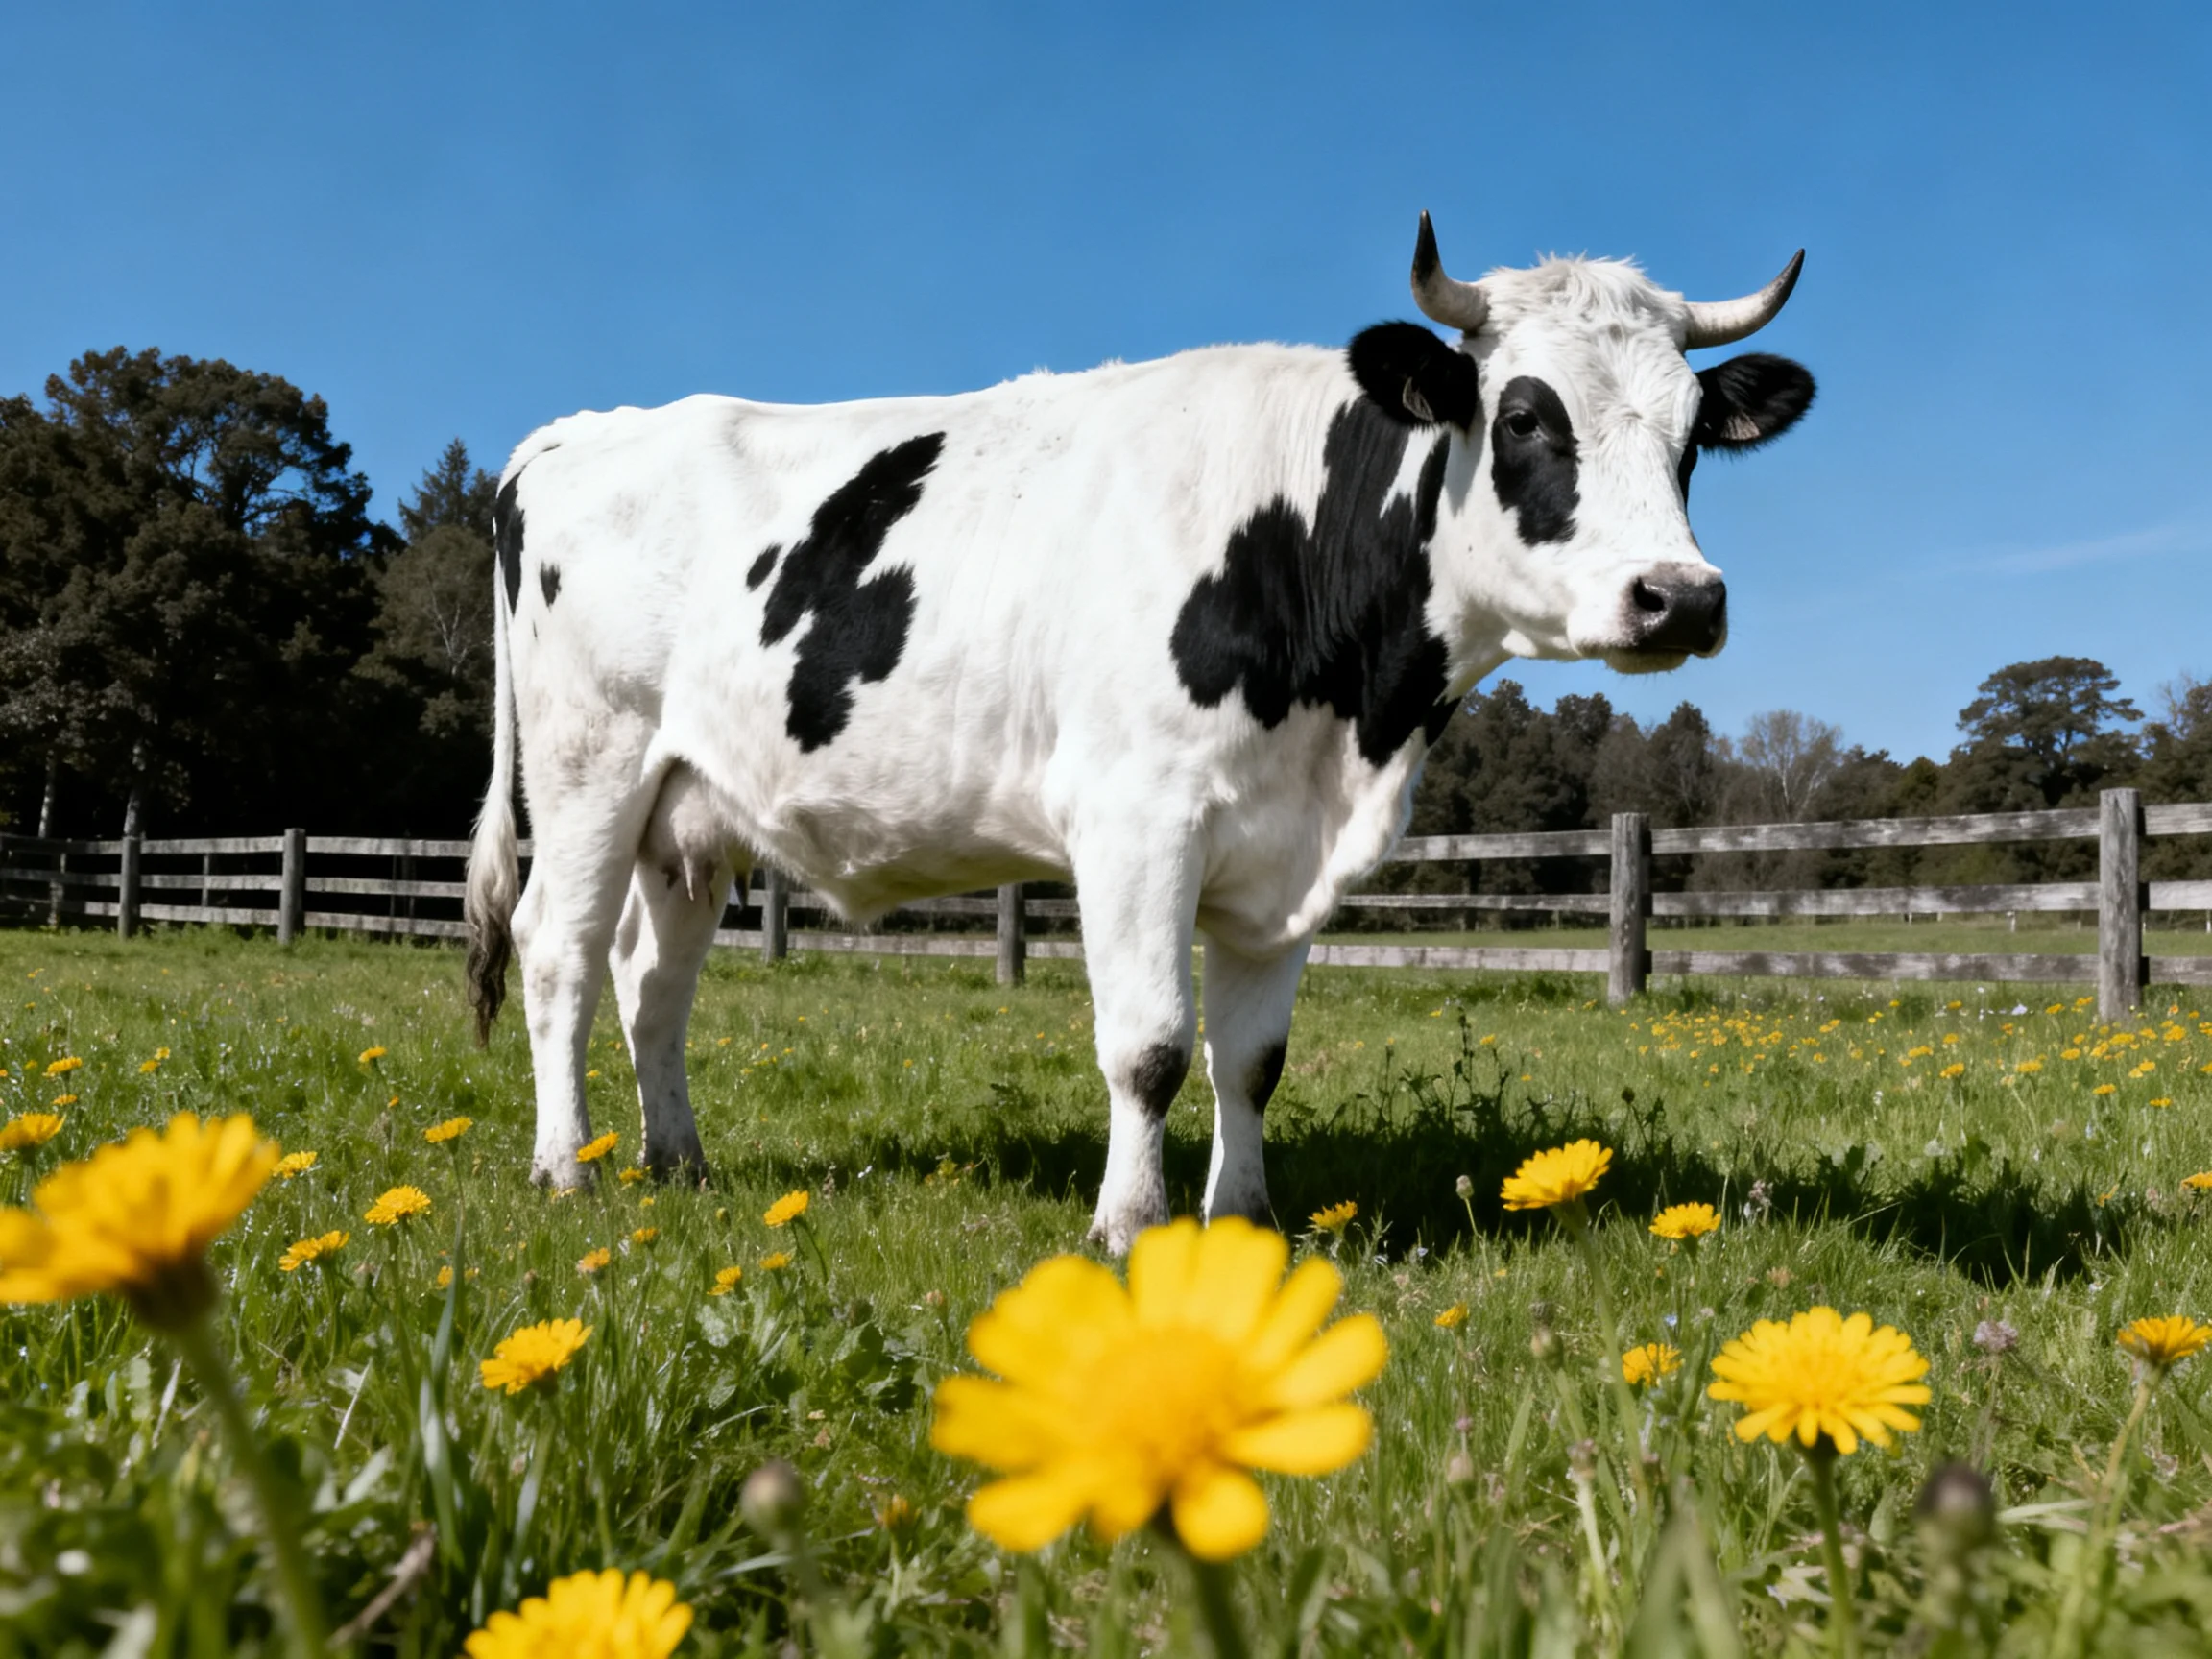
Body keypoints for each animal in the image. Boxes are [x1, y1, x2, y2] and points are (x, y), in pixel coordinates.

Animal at [463, 215, 1815, 1252]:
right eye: (1528, 417)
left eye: (1694, 437)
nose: (1682, 598)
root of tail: (572, 432)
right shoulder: (1135, 821)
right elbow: (1152, 1048)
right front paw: (1127, 1228)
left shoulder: (1283, 851)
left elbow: (1250, 1061)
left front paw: (1244, 1224)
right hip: (588, 769)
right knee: (557, 951)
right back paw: (565, 1169)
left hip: (686, 811)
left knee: (652, 981)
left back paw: (677, 1162)